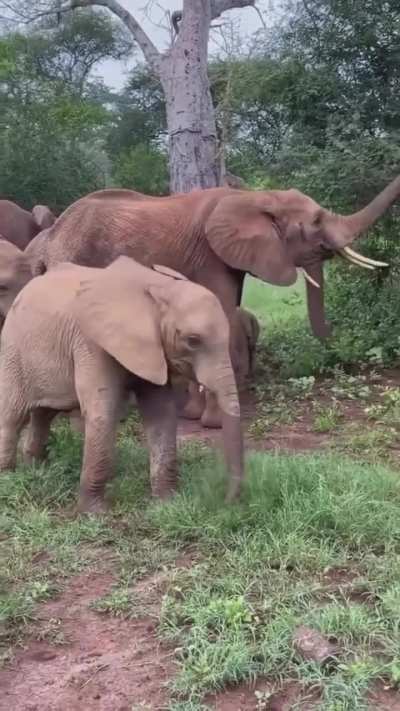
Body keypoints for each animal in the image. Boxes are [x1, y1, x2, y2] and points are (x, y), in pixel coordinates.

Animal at [0, 255, 243, 512]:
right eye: (193, 340)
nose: (225, 503)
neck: (157, 287)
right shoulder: (91, 342)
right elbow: (102, 413)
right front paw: (94, 512)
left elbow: (161, 413)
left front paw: (167, 503)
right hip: (12, 349)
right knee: (13, 415)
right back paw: (9, 476)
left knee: (44, 413)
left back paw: (36, 469)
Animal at [19, 179, 399, 425]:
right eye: (317, 221)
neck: (255, 198)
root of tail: (50, 239)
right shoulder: (211, 257)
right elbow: (222, 315)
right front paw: (217, 423)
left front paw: (193, 415)